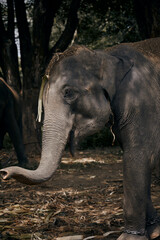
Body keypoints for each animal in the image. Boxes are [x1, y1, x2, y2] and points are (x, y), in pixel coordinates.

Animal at [1, 38, 160, 240]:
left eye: (68, 92)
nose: (4, 172)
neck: (106, 54)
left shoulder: (143, 101)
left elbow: (138, 157)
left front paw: (131, 238)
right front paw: (154, 231)